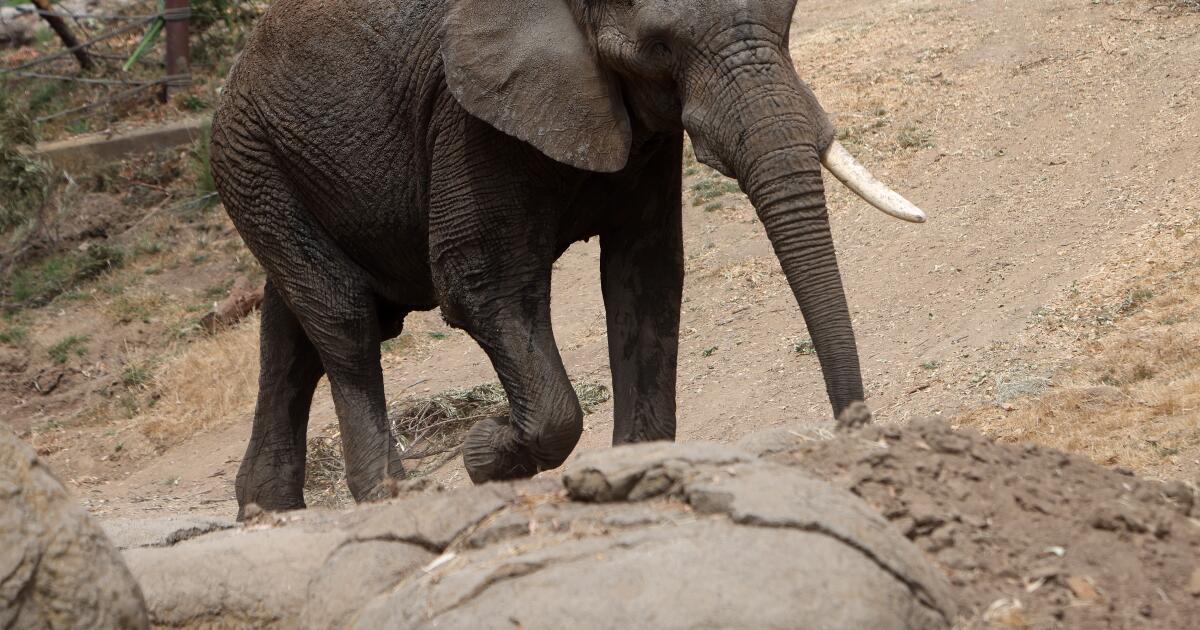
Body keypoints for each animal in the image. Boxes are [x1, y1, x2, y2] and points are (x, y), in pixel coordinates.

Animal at [211, 0, 921, 516]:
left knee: (291, 330)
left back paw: (264, 509)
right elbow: (481, 286)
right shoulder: (468, 120)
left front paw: (635, 475)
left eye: (790, 18)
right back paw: (390, 494)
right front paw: (484, 451)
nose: (855, 434)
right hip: (252, 159)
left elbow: (645, 274)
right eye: (660, 47)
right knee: (346, 321)